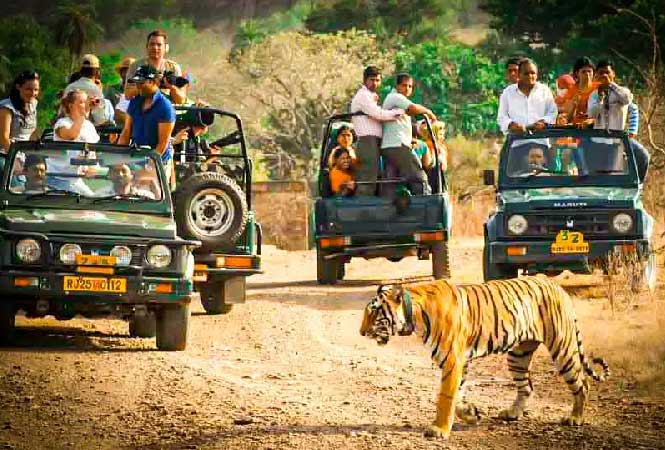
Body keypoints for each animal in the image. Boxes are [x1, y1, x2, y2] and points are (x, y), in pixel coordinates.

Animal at [358, 276, 608, 438]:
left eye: (374, 312)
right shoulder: (459, 362)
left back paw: (575, 418)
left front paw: (439, 429)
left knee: (582, 383)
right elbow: (457, 395)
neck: (415, 315)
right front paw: (471, 414)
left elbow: (445, 397)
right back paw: (512, 414)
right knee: (526, 386)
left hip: (562, 347)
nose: (361, 332)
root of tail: (557, 285)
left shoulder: (453, 359)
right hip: (518, 354)